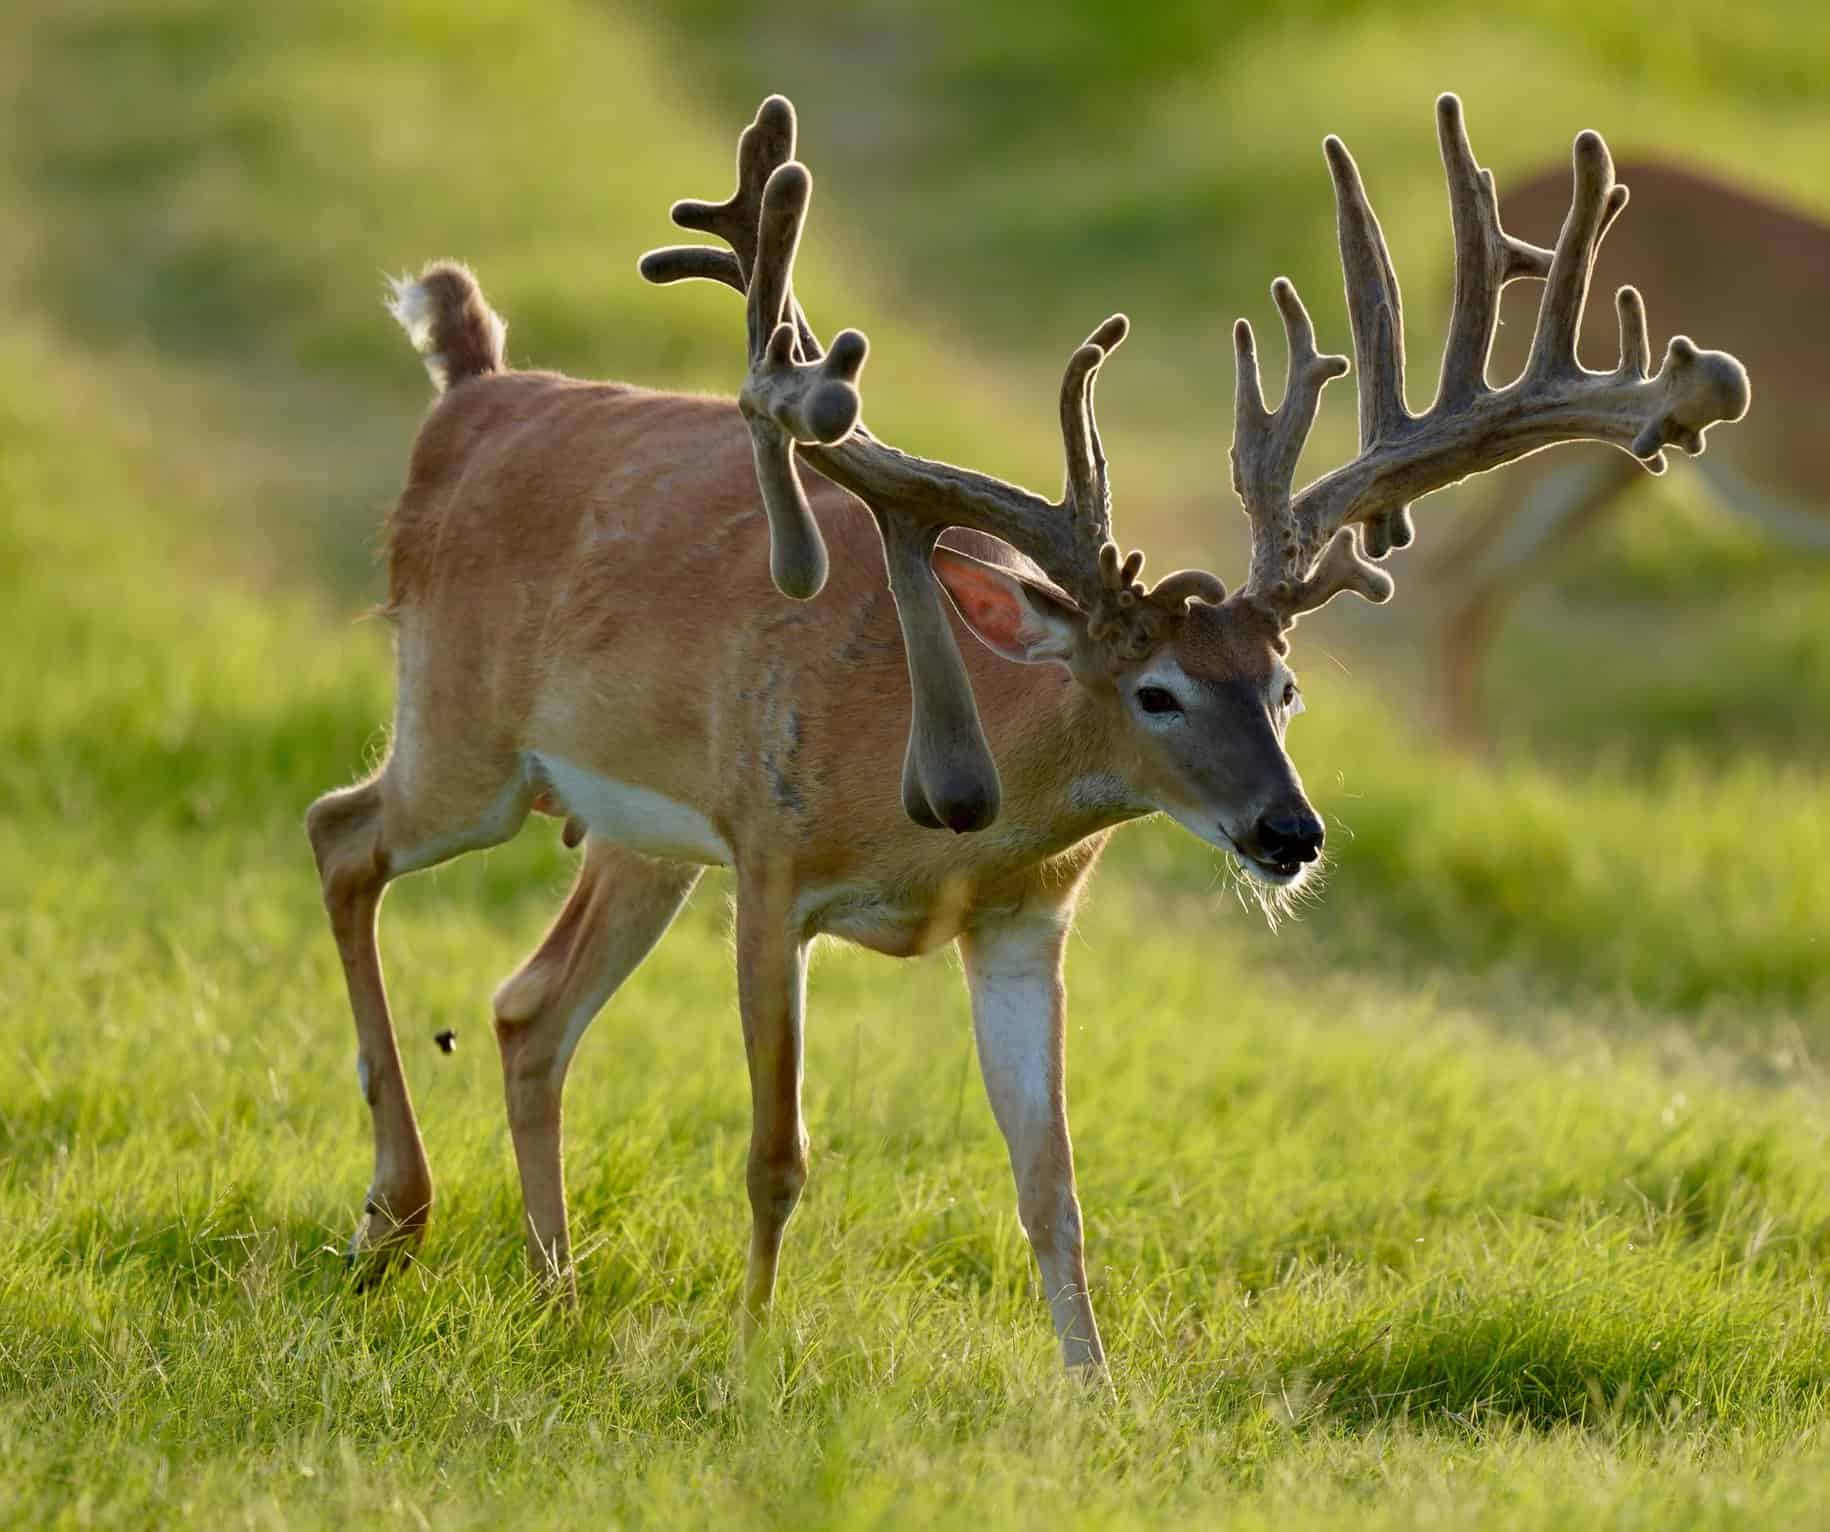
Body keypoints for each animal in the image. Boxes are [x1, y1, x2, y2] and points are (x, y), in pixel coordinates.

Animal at [305, 93, 1747, 1371]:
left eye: (1283, 690)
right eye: (1156, 691)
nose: (1289, 832)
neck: (948, 821)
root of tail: (470, 395)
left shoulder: (1024, 921)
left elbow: (1051, 1183)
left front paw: (1094, 1395)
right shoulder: (771, 863)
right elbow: (777, 1153)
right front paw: (749, 1358)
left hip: (635, 840)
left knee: (526, 1007)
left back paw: (553, 1292)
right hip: (467, 739)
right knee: (342, 834)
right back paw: (398, 1216)